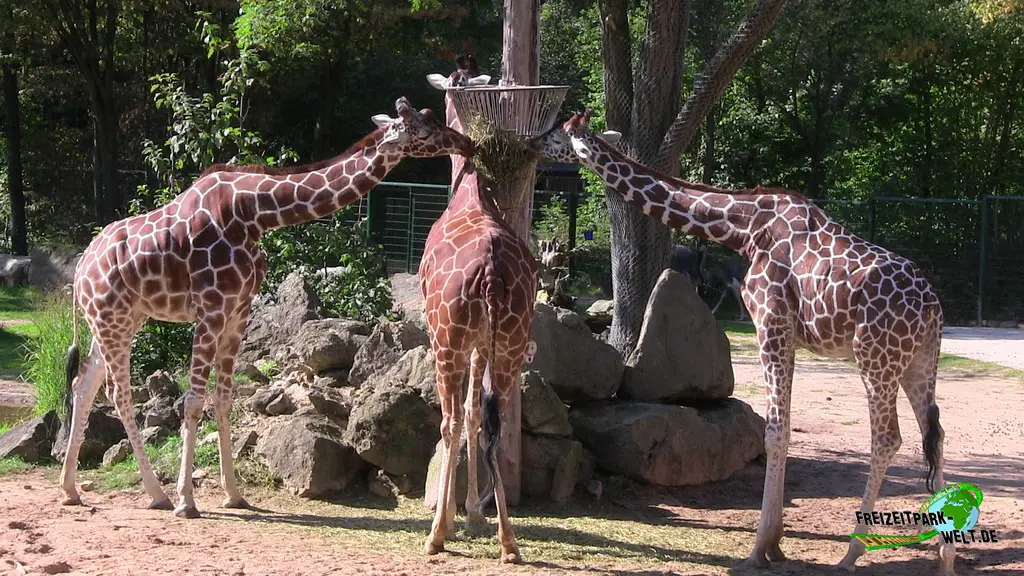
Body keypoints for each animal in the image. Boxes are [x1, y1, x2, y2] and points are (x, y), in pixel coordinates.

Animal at [59, 97, 475, 519]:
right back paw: (157, 494)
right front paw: (187, 501)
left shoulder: (238, 311)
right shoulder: (211, 309)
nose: (466, 142)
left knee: (83, 383)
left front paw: (234, 495)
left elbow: (224, 399)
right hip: (113, 319)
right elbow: (194, 401)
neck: (256, 213)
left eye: (431, 116)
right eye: (423, 128)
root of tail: (80, 270)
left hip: (120, 319)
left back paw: (70, 489)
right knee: (117, 393)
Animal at [528, 112, 954, 575]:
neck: (744, 227)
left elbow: (776, 433)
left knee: (888, 439)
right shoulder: (789, 337)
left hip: (875, 358)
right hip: (918, 363)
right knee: (935, 433)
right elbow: (783, 428)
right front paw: (776, 544)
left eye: (557, 133)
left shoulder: (771, 323)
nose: (531, 141)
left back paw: (852, 553)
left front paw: (760, 547)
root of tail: (932, 308)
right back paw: (945, 556)